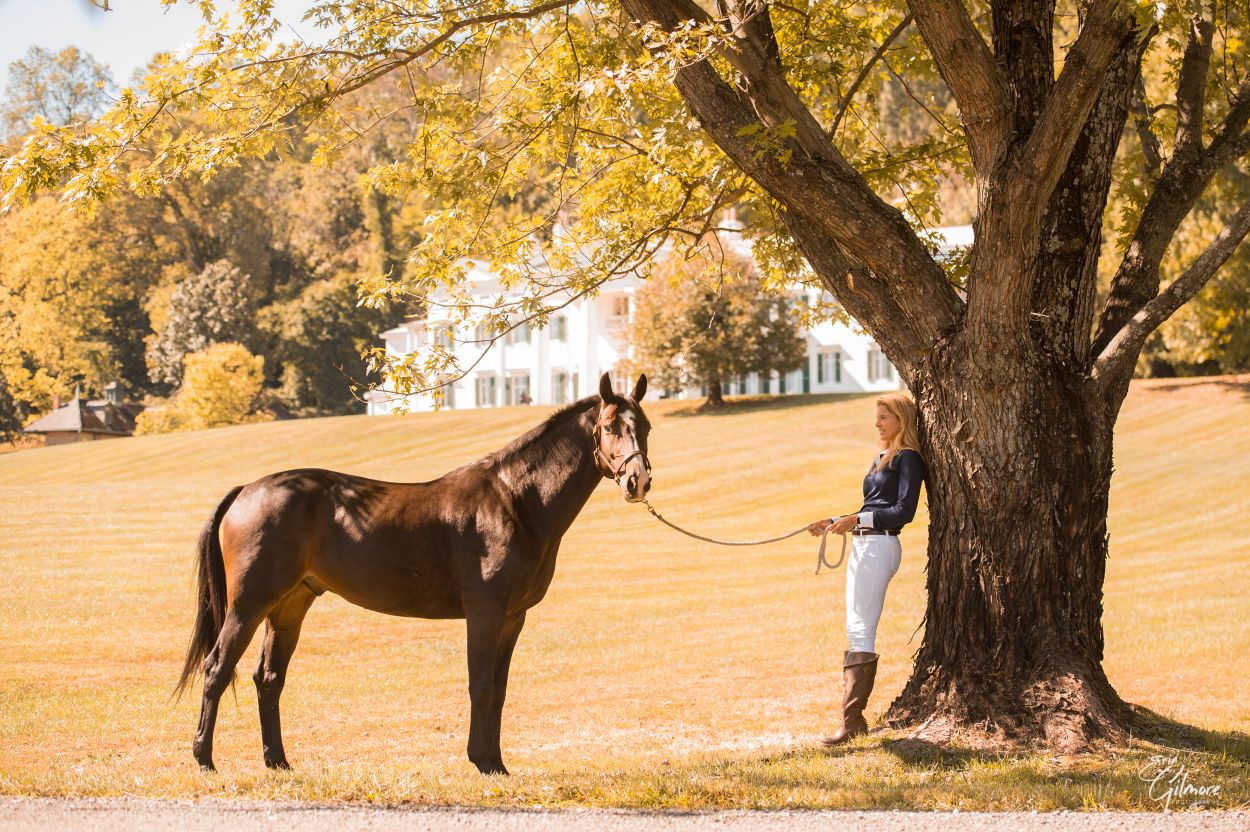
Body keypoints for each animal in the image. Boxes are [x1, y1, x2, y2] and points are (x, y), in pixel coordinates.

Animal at [176, 369, 655, 769]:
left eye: (645, 427)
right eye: (610, 427)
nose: (638, 482)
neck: (515, 502)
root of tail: (247, 490)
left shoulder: (513, 617)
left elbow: (498, 690)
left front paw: (496, 763)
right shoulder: (485, 612)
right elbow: (480, 685)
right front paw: (481, 761)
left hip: (289, 607)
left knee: (269, 678)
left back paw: (277, 761)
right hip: (248, 605)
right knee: (217, 669)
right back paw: (204, 758)